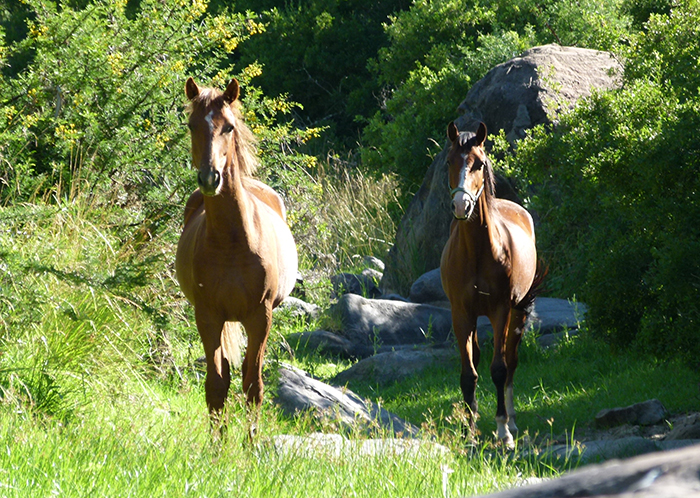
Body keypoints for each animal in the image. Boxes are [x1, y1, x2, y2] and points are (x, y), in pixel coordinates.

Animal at [176, 78, 300, 428]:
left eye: (229, 127)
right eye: (191, 125)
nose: (210, 178)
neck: (232, 241)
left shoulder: (260, 316)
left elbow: (253, 385)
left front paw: (252, 441)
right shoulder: (208, 315)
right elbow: (217, 385)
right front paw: (217, 442)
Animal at [440, 120, 540, 448]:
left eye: (479, 164)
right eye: (449, 162)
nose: (461, 206)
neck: (477, 252)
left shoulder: (500, 311)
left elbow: (499, 369)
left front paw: (502, 430)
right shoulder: (461, 315)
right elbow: (468, 373)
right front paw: (469, 433)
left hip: (518, 313)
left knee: (510, 362)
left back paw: (513, 421)